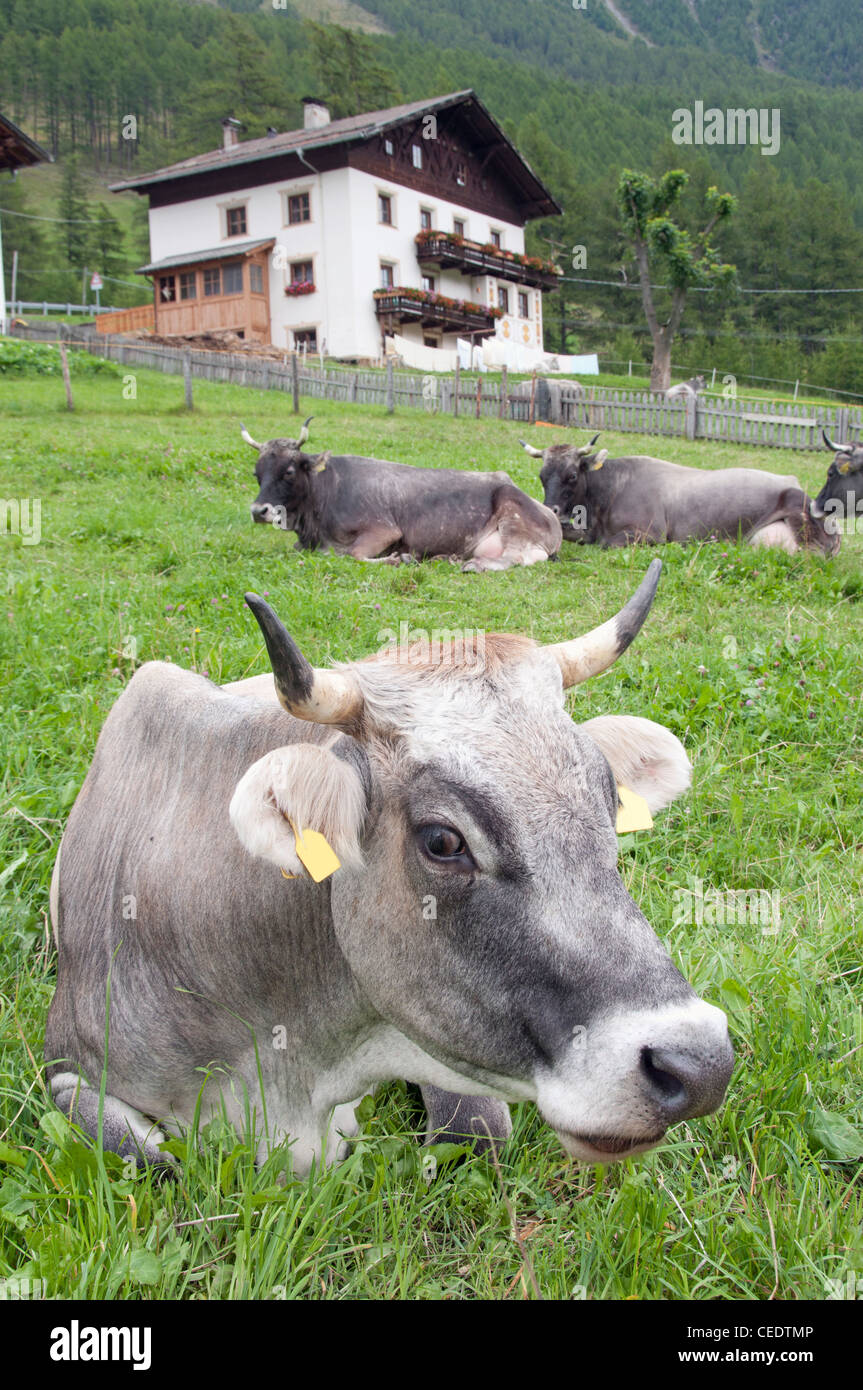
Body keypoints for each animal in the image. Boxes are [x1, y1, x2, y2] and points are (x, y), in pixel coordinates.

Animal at [45, 558, 733, 1178]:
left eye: (608, 799)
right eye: (442, 841)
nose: (699, 1065)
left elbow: (479, 1133)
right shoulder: (66, 1063)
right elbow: (148, 1162)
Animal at [241, 417, 561, 569]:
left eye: (289, 472)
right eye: (257, 473)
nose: (258, 511)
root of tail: (549, 513)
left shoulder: (384, 530)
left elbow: (353, 554)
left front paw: (398, 559)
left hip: (512, 513)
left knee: (517, 557)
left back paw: (473, 566)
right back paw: (446, 559)